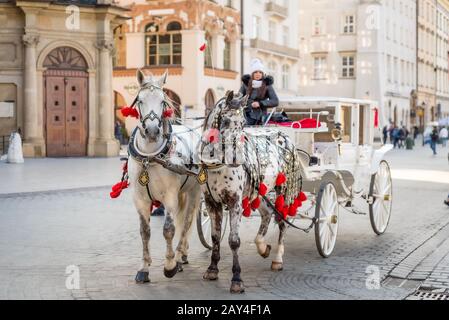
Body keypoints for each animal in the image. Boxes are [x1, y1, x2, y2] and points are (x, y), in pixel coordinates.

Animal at [198, 90, 306, 292]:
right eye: (225, 121)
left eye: (242, 123)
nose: (236, 159)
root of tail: (283, 134)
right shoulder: (211, 202)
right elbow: (215, 237)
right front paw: (212, 269)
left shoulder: (235, 202)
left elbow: (234, 241)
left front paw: (237, 279)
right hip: (262, 191)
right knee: (267, 214)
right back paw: (262, 247)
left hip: (282, 191)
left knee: (282, 221)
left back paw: (277, 259)